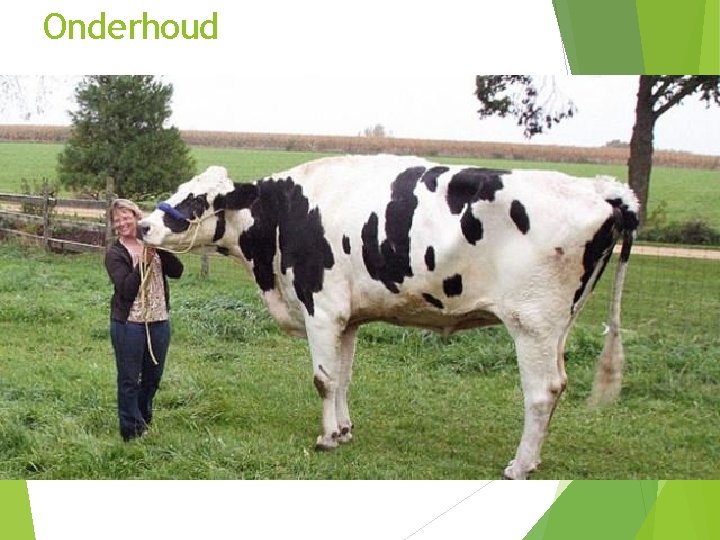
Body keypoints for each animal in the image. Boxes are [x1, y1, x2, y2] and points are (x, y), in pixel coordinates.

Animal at [138, 155, 639, 479]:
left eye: (196, 200)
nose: (143, 224)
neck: (281, 217)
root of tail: (602, 189)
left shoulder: (322, 309)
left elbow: (323, 379)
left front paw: (326, 439)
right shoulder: (348, 317)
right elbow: (342, 378)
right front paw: (343, 431)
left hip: (532, 323)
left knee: (541, 391)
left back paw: (519, 465)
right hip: (558, 326)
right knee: (557, 386)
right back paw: (533, 460)